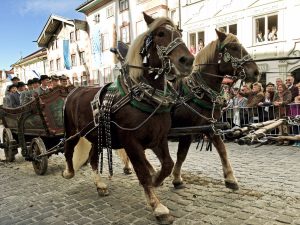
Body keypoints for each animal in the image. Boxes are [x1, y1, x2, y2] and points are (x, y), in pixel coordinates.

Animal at [62, 13, 193, 224]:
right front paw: (157, 206)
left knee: (92, 159)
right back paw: (68, 172)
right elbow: (142, 172)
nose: (187, 60)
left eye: (179, 32)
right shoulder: (131, 142)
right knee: (68, 149)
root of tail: (74, 89)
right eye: (160, 33)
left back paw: (100, 185)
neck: (143, 97)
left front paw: (156, 180)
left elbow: (167, 165)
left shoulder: (158, 139)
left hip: (97, 137)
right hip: (73, 131)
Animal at [171, 29, 260, 189]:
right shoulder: (187, 130)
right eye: (234, 48)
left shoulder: (210, 126)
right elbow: (181, 154)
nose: (256, 72)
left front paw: (230, 179)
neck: (199, 92)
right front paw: (176, 178)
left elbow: (222, 149)